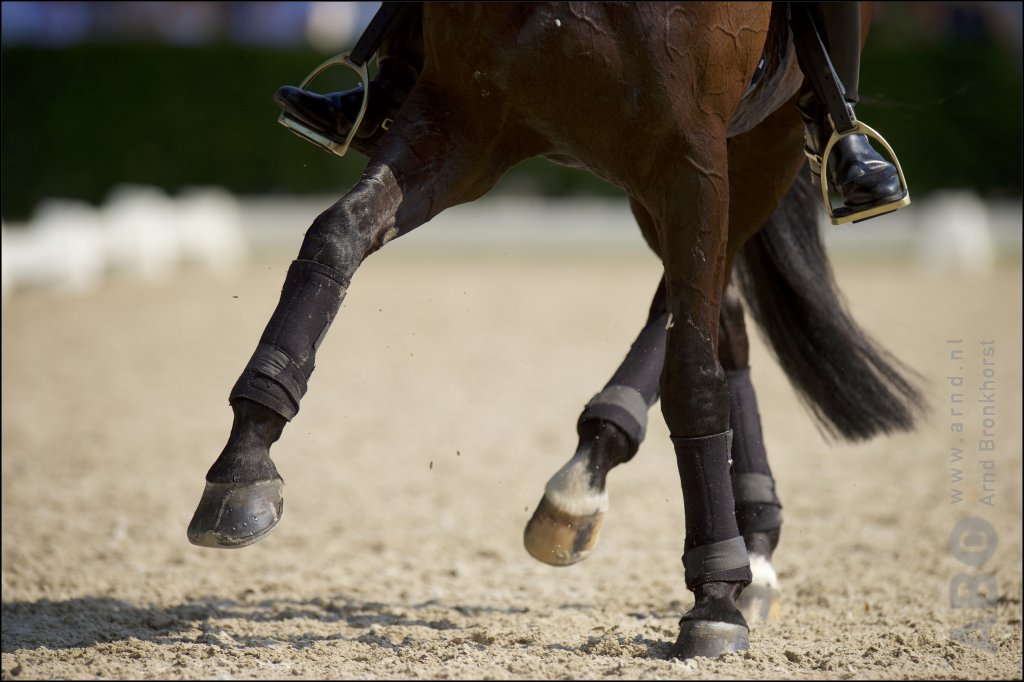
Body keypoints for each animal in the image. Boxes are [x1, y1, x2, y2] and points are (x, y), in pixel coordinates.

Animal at [186, 1, 929, 659]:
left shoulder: (692, 160)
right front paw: (243, 465)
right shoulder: (462, 120)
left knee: (698, 319)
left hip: (752, 155)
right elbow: (336, 235)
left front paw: (714, 599)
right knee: (722, 317)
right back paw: (718, 524)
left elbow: (691, 374)